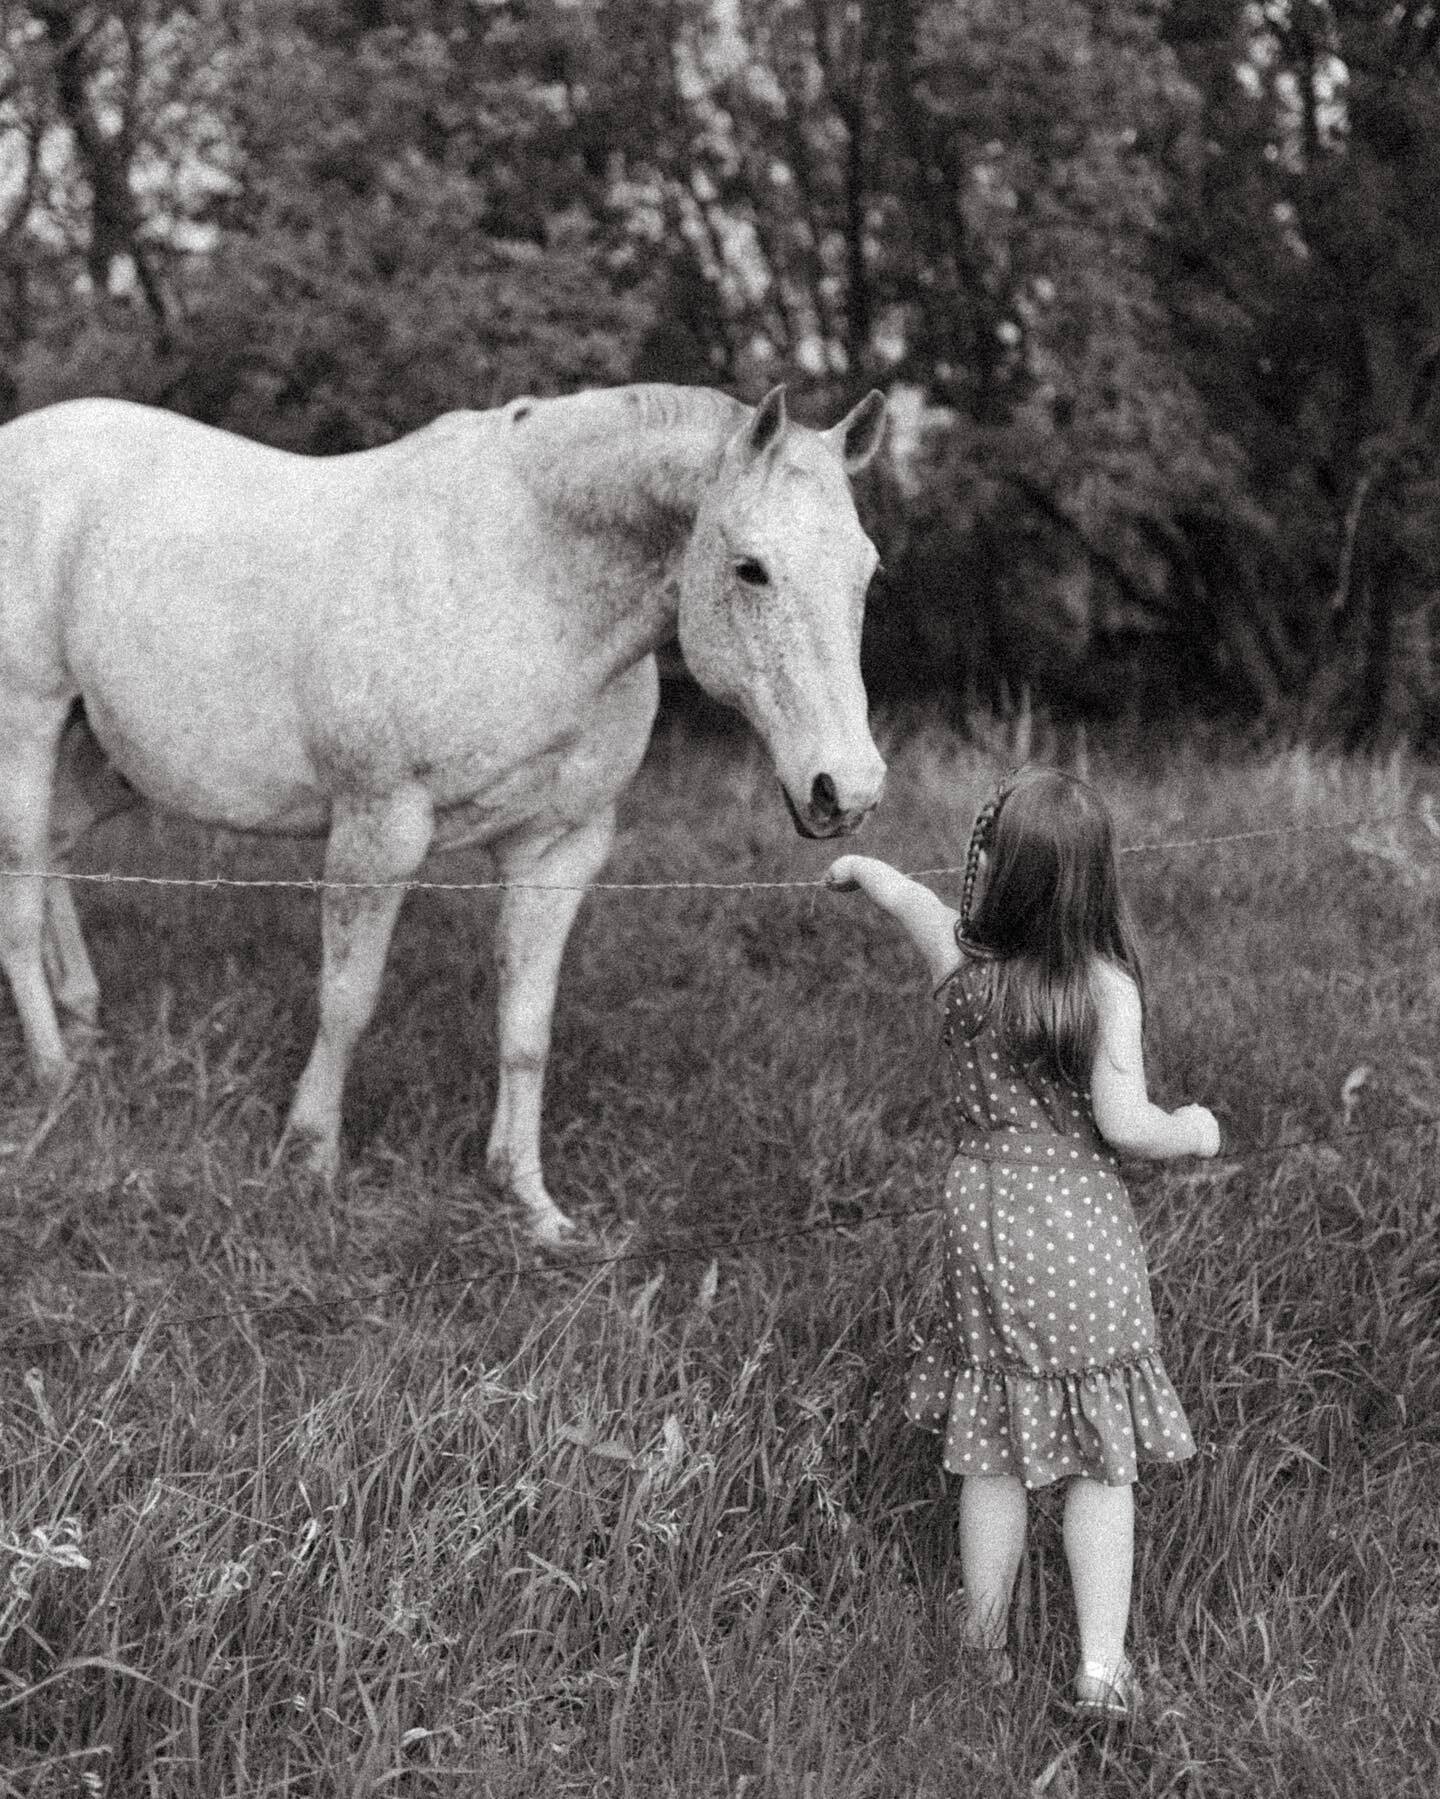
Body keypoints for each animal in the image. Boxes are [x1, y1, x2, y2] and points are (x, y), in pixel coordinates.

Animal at [0, 383, 882, 1237]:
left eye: (867, 571)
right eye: (751, 567)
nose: (849, 788)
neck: (531, 582)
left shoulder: (560, 848)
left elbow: (526, 1027)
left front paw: (529, 1200)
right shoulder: (379, 827)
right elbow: (347, 1000)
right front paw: (311, 1158)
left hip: (104, 755)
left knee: (54, 852)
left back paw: (84, 1027)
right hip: (29, 724)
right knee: (21, 889)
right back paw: (54, 1075)